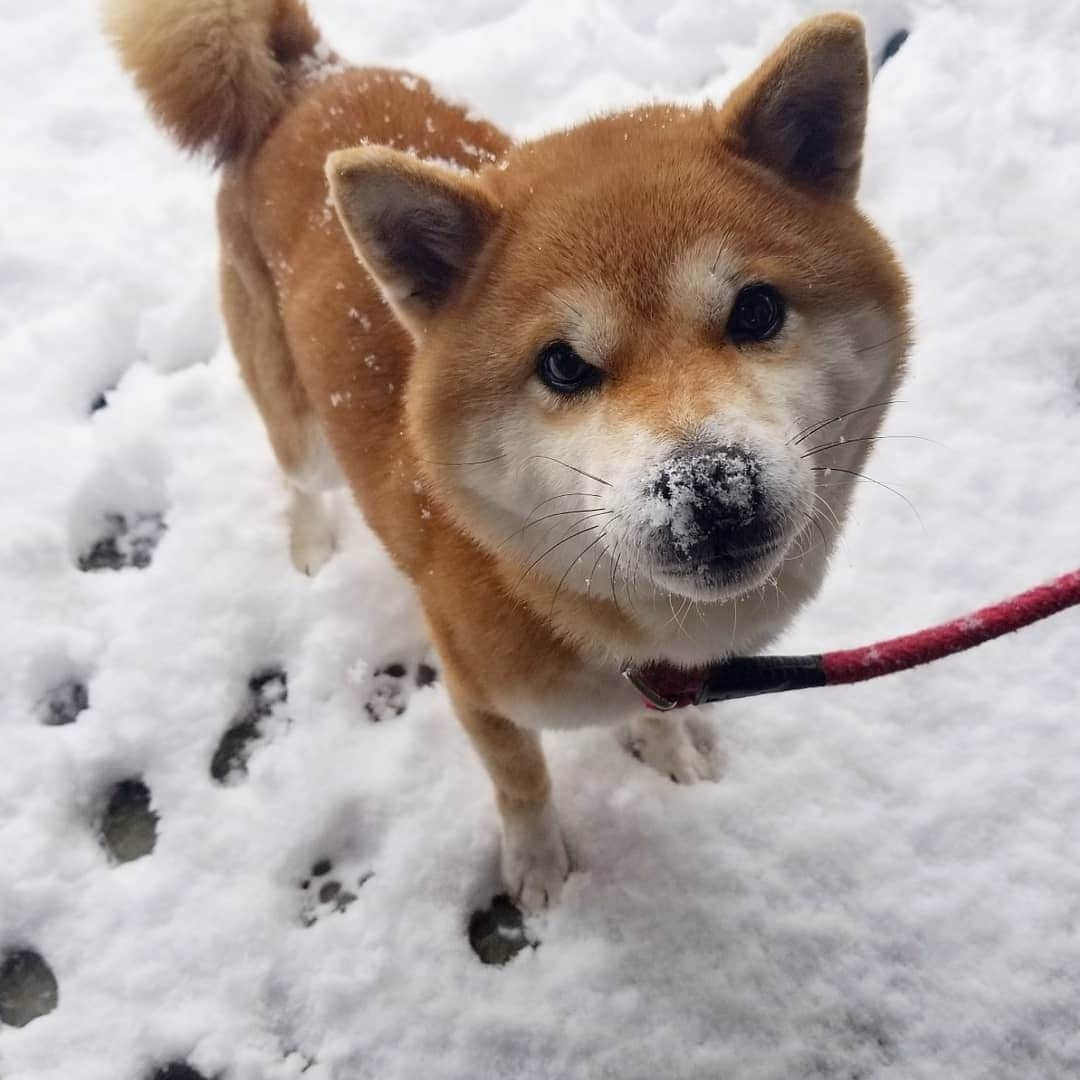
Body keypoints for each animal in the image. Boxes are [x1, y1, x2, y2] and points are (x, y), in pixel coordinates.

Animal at [109, 0, 907, 911]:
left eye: (758, 311)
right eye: (561, 365)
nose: (713, 490)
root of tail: (300, 77)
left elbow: (652, 716)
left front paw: (667, 746)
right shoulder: (476, 692)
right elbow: (521, 780)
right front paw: (536, 863)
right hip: (301, 424)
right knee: (298, 480)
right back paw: (310, 547)